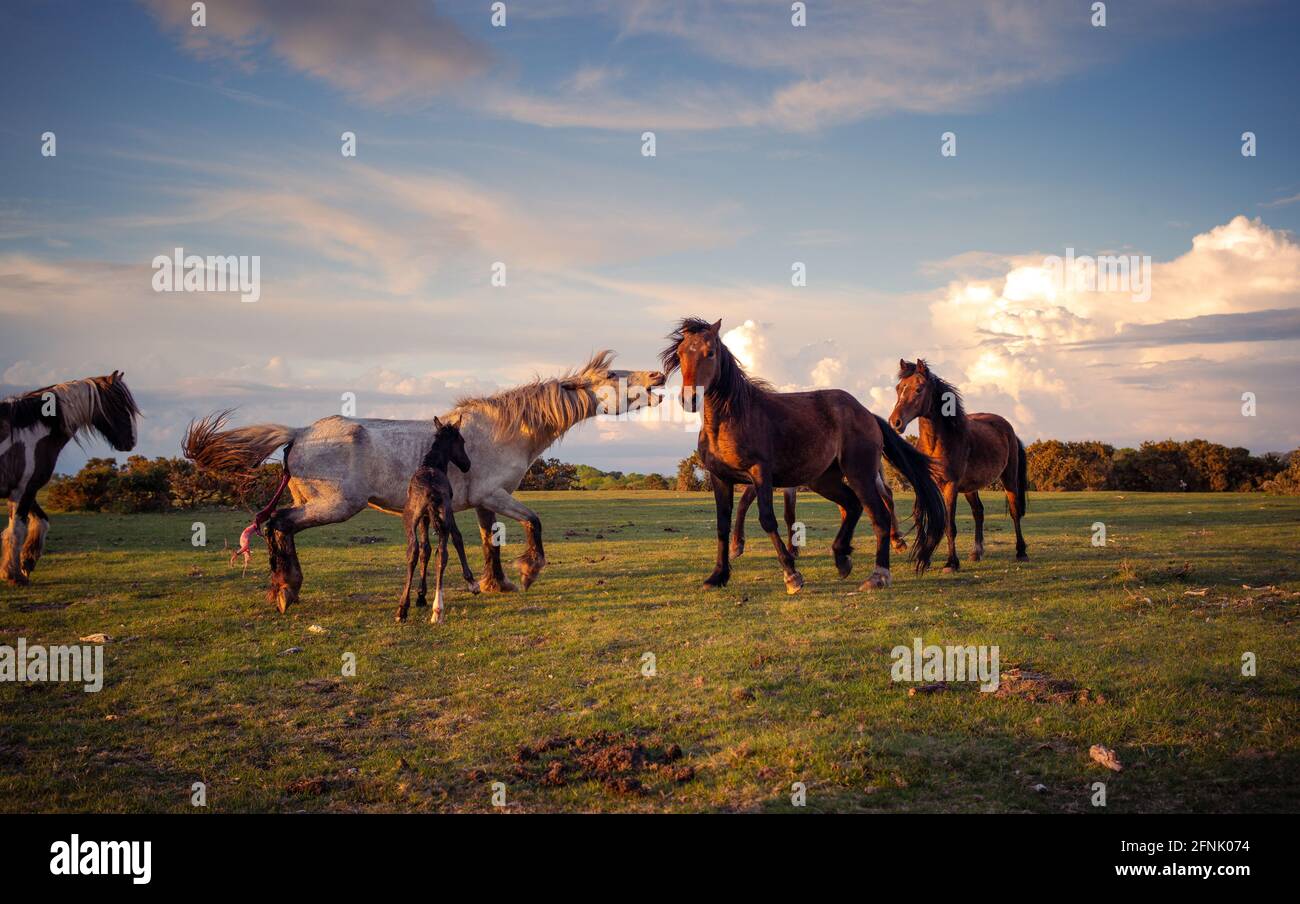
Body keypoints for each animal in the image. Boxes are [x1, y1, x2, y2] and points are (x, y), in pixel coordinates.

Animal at [0, 374, 139, 587]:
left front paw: (27, 562)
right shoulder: (22, 490)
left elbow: (42, 522)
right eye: (119, 405)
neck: (32, 432)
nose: (132, 441)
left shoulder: (29, 489)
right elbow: (16, 530)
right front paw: (13, 574)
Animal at [397, 418, 480, 626]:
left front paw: (420, 596)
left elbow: (426, 549)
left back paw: (403, 609)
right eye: (462, 441)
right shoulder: (444, 515)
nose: (467, 464)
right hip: (443, 517)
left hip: (410, 519)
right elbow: (453, 540)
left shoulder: (426, 519)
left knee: (414, 551)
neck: (431, 465)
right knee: (441, 553)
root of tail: (431, 490)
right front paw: (472, 583)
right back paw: (437, 609)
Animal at [660, 318, 946, 593]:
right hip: (824, 480)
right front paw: (718, 576)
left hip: (860, 475)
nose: (690, 397)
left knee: (880, 516)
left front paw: (791, 574)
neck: (731, 419)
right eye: (681, 353)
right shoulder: (720, 478)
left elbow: (767, 520)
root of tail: (866, 413)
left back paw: (879, 575)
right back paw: (842, 557)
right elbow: (722, 524)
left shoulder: (760, 474)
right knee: (852, 505)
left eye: (710, 352)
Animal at [889, 356, 1029, 569]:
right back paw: (976, 553)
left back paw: (1021, 552)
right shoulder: (925, 485)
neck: (936, 444)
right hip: (971, 487)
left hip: (1009, 478)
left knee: (1014, 512)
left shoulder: (950, 486)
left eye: (919, 389)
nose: (895, 422)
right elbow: (921, 518)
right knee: (978, 512)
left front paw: (951, 563)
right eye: (899, 388)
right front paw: (924, 558)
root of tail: (1009, 429)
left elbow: (949, 525)